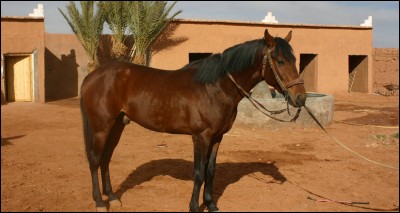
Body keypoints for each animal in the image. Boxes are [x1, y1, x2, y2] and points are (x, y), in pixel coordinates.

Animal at [80, 28, 306, 211]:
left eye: (295, 60)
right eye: (280, 61)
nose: (301, 98)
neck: (216, 87)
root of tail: (92, 76)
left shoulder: (217, 137)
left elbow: (211, 171)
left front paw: (211, 204)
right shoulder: (201, 137)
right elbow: (199, 173)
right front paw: (194, 207)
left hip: (117, 125)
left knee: (106, 159)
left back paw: (112, 197)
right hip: (101, 126)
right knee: (95, 160)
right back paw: (100, 202)